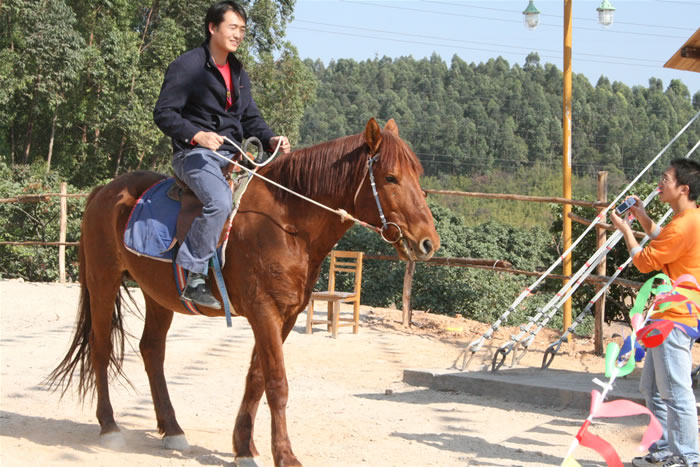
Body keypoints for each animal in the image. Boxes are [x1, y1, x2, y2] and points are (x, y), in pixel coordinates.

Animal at [49, 118, 440, 467]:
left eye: (417, 175)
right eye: (390, 177)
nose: (428, 242)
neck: (286, 222)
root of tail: (104, 191)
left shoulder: (284, 316)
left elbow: (256, 378)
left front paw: (243, 447)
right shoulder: (263, 311)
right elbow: (277, 384)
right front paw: (285, 456)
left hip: (157, 295)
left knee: (151, 351)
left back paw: (172, 429)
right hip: (103, 280)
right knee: (101, 349)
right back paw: (110, 426)